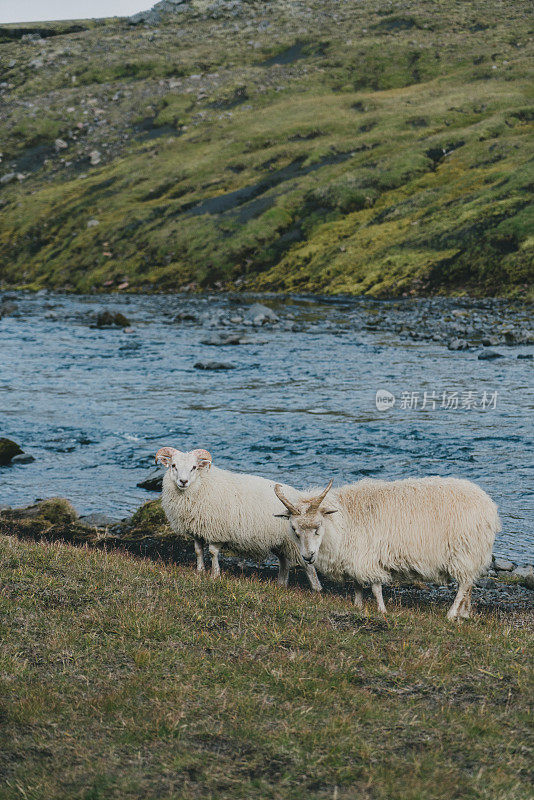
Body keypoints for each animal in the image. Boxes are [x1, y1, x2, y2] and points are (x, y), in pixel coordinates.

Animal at [155, 446, 322, 592]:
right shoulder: (197, 530)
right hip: (280, 542)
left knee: (308, 565)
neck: (202, 484)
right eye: (173, 466)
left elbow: (212, 552)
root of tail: (302, 499)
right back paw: (281, 584)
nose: (183, 482)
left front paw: (215, 575)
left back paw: (316, 589)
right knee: (284, 562)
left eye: (194, 467)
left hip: (296, 541)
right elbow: (198, 551)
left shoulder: (216, 531)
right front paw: (200, 571)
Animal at [276, 476, 502, 620]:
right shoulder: (353, 558)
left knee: (463, 585)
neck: (342, 520)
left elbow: (375, 587)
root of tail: (488, 505)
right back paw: (464, 614)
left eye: (317, 527)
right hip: (471, 554)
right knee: (469, 584)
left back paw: (451, 614)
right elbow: (357, 584)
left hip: (464, 552)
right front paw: (357, 605)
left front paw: (382, 611)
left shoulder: (367, 557)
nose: (308, 557)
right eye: (294, 529)